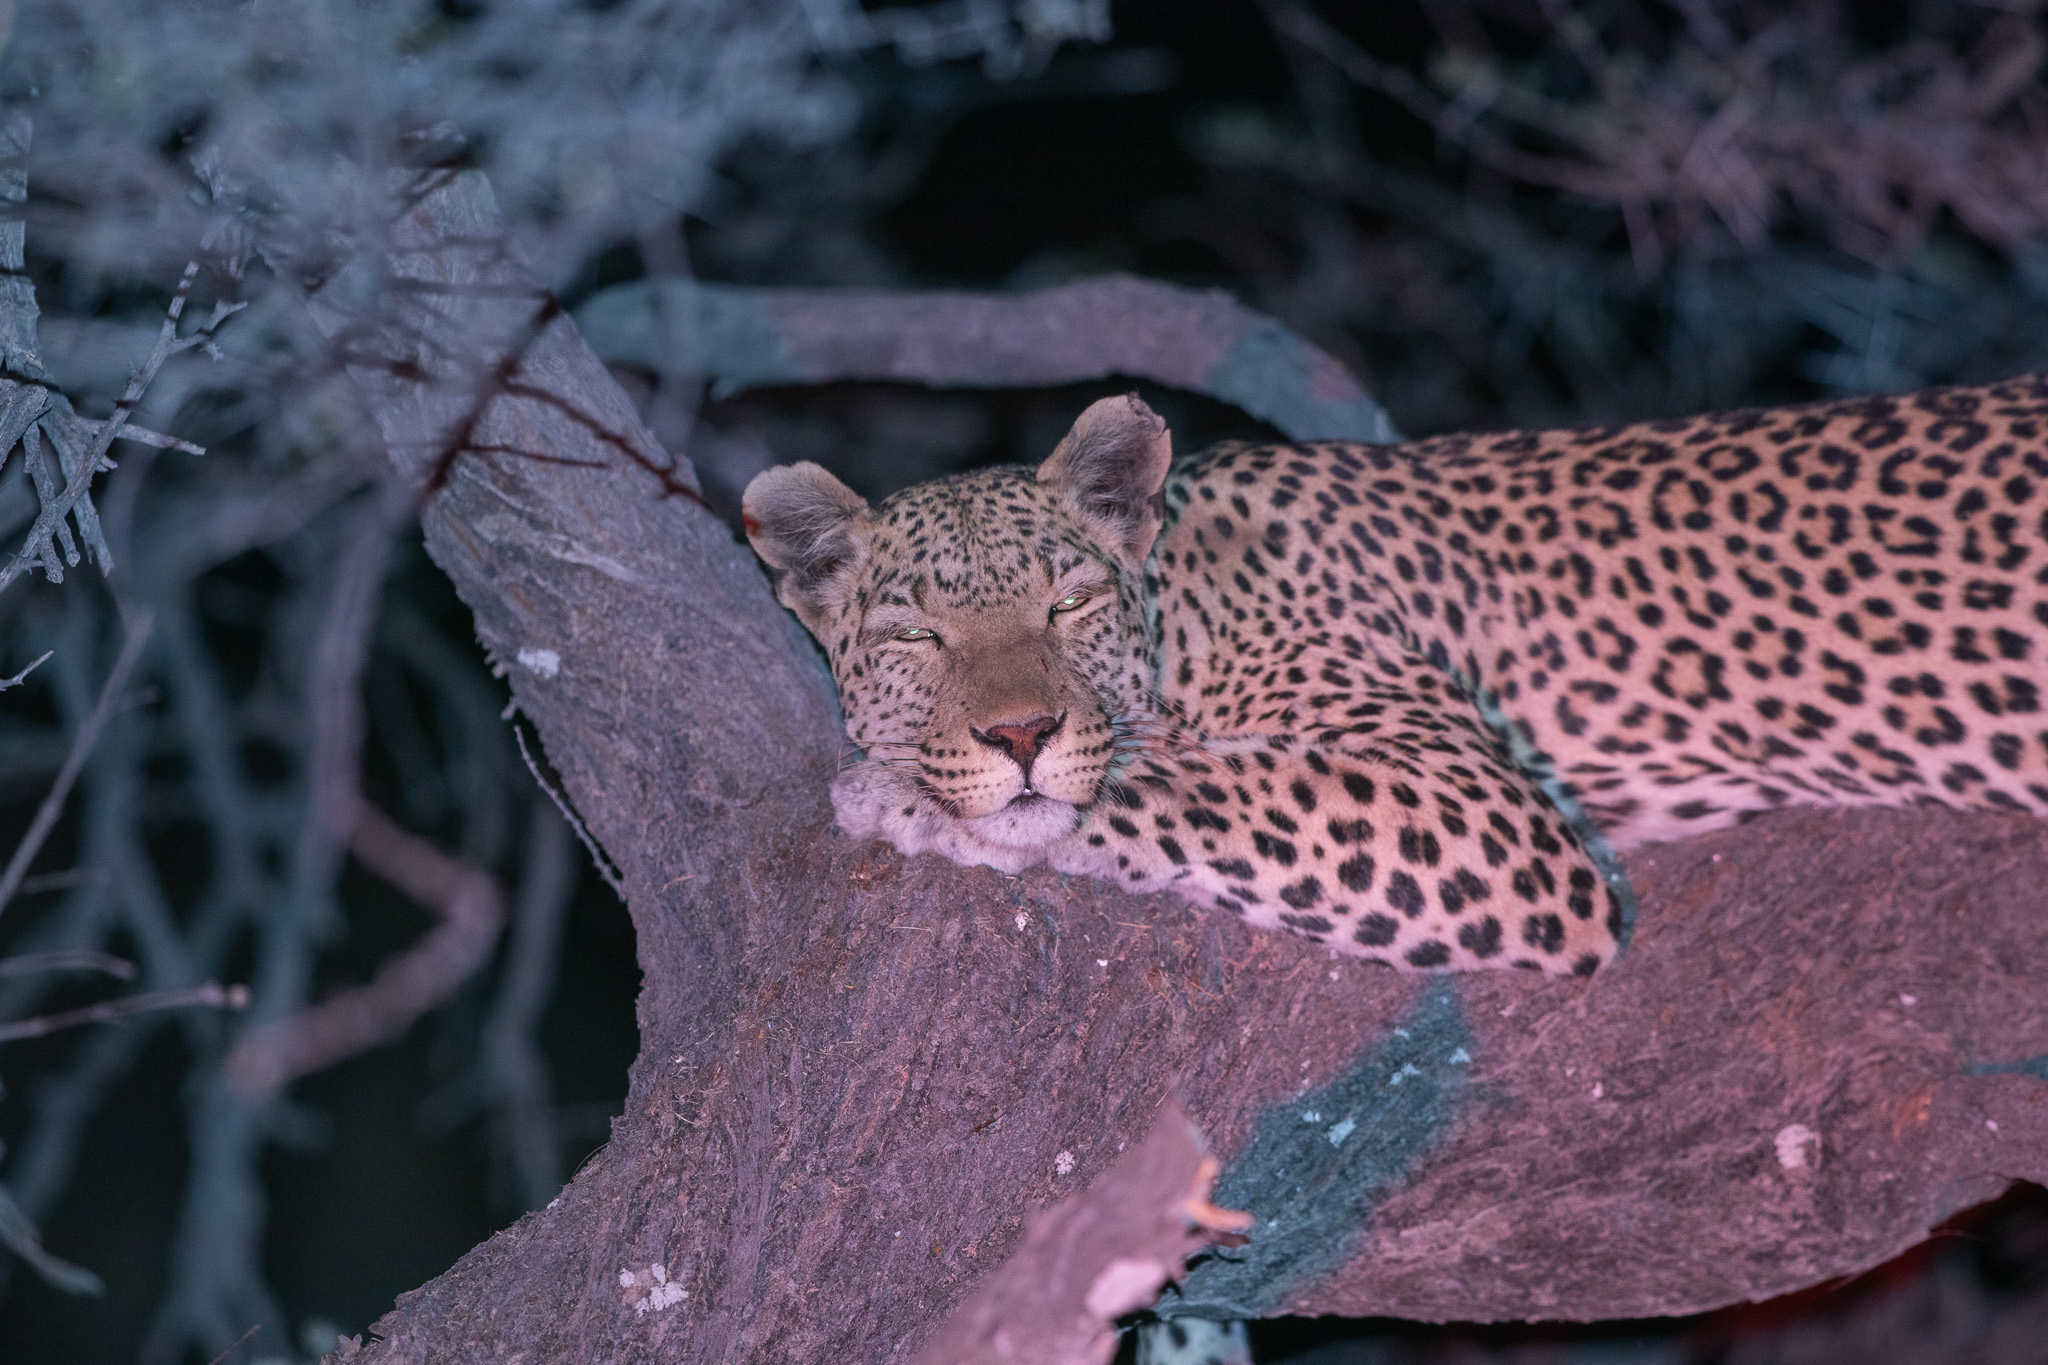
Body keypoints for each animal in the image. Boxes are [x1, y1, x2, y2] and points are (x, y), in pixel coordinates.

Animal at [745, 378, 2048, 978]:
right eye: (916, 637)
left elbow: (1191, 781)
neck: (1181, 605)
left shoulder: (1484, 803)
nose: (1018, 733)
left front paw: (904, 796)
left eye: (1066, 603)